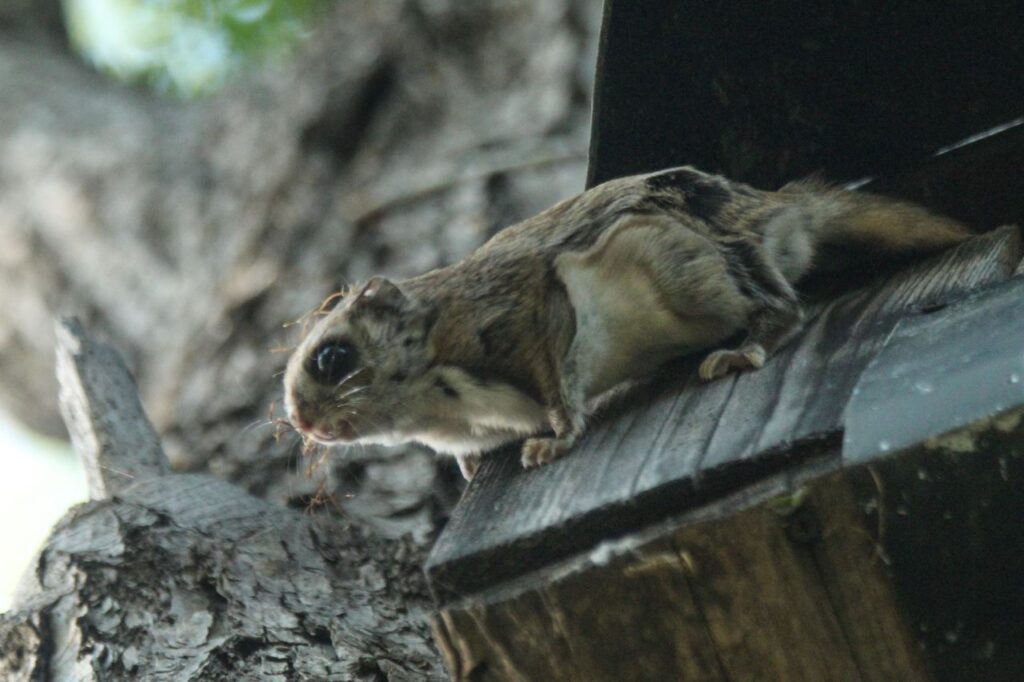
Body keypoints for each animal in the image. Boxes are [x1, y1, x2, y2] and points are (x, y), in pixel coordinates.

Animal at [283, 166, 970, 480]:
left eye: (332, 357)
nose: (301, 422)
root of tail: (777, 212)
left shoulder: (517, 312)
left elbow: (556, 381)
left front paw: (556, 440)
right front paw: (471, 470)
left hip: (692, 263)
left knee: (781, 307)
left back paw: (746, 348)